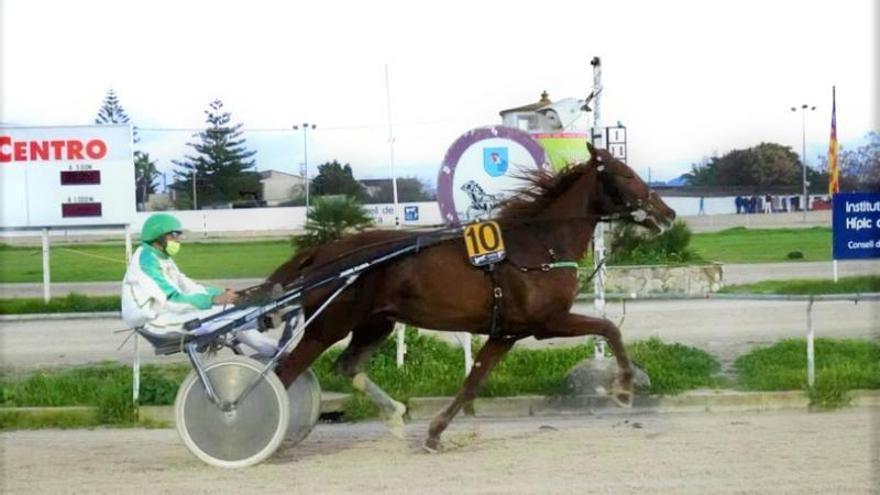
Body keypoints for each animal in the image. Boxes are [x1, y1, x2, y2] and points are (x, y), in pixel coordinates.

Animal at [266, 142, 672, 450]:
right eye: (627, 174)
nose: (667, 213)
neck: (539, 245)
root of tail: (324, 251)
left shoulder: (505, 333)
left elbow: (472, 381)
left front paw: (434, 432)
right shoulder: (548, 322)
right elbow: (609, 328)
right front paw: (624, 389)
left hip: (375, 324)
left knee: (348, 366)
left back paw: (394, 415)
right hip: (328, 326)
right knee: (284, 372)